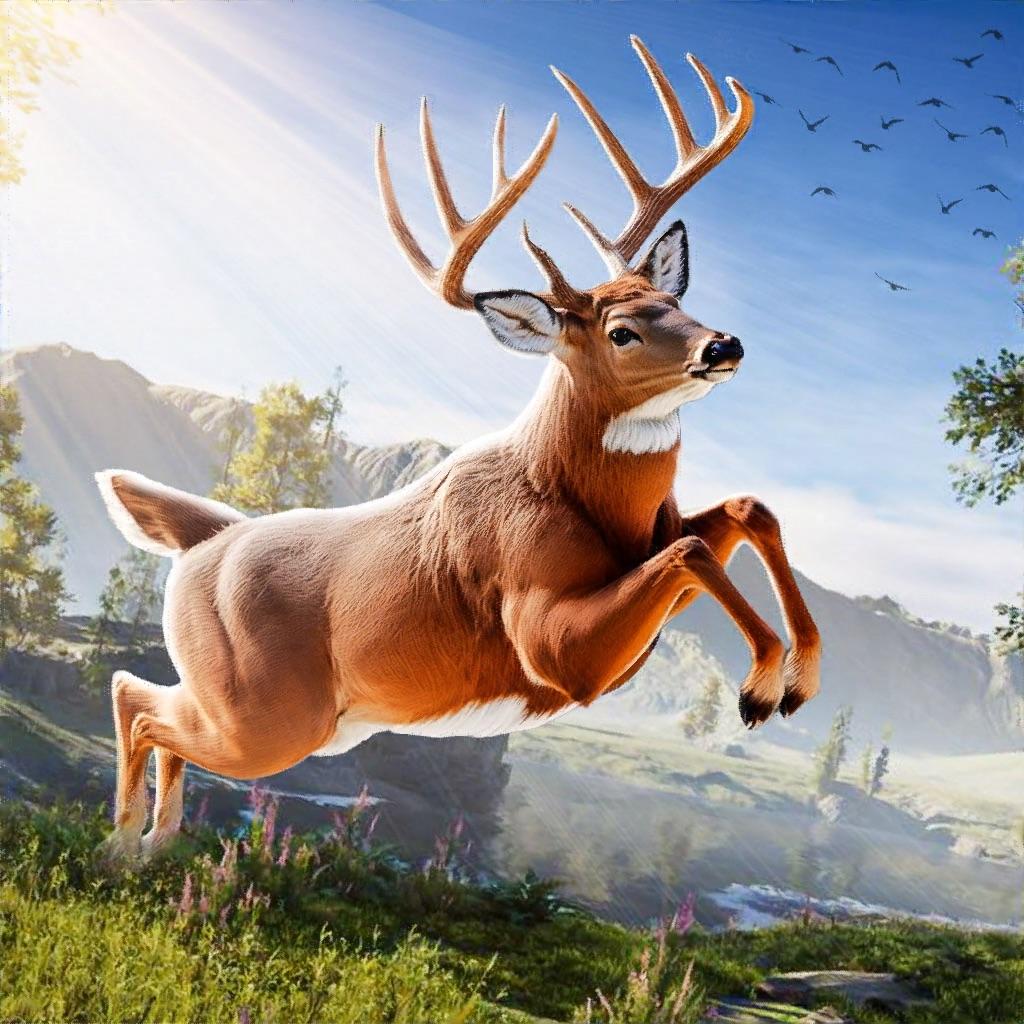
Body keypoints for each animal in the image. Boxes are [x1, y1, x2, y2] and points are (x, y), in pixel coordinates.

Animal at [95, 36, 820, 862]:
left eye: (673, 299)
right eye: (621, 331)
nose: (722, 345)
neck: (580, 500)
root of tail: (205, 538)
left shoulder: (651, 549)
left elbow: (743, 510)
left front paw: (799, 677)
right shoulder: (547, 642)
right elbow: (690, 550)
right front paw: (761, 687)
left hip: (268, 711)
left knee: (146, 702)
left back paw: (153, 843)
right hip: (266, 711)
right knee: (134, 698)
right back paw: (124, 842)